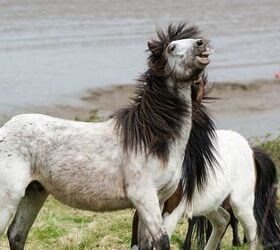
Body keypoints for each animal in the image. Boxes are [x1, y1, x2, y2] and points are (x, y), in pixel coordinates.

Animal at [0, 22, 212, 249]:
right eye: (172, 48)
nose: (201, 45)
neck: (149, 139)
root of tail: (5, 129)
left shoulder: (159, 200)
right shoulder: (145, 199)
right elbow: (162, 240)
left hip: (35, 192)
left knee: (17, 234)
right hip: (8, 198)